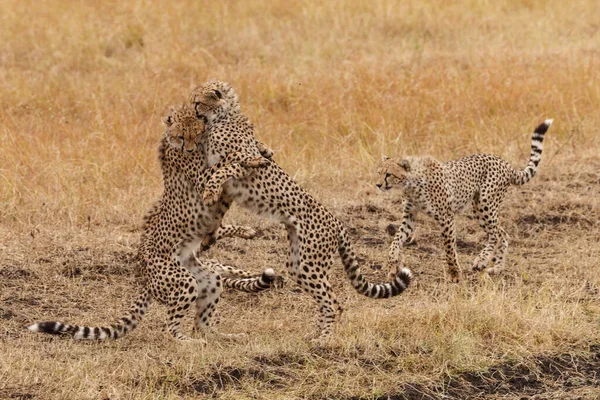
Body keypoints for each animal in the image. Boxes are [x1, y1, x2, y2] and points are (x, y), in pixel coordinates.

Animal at [25, 104, 274, 340]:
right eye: (181, 136)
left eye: (196, 133)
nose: (190, 149)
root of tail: (144, 276)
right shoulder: (203, 178)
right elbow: (227, 163)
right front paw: (253, 159)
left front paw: (262, 149)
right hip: (183, 280)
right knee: (170, 328)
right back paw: (186, 341)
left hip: (206, 278)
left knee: (201, 324)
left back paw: (222, 335)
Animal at [189, 79, 412, 342]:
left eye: (197, 101)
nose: (193, 112)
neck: (222, 117)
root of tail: (337, 222)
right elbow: (219, 198)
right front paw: (208, 234)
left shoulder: (241, 163)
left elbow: (226, 168)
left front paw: (209, 192)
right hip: (298, 264)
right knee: (327, 300)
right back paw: (314, 334)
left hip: (310, 264)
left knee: (334, 303)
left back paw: (323, 340)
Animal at [376, 119, 552, 282]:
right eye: (379, 172)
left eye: (388, 174)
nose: (378, 185)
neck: (410, 184)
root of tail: (503, 162)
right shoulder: (410, 216)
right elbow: (396, 239)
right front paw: (392, 265)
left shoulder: (446, 218)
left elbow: (449, 248)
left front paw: (455, 274)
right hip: (480, 210)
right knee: (502, 233)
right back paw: (497, 268)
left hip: (485, 204)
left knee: (496, 234)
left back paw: (481, 260)